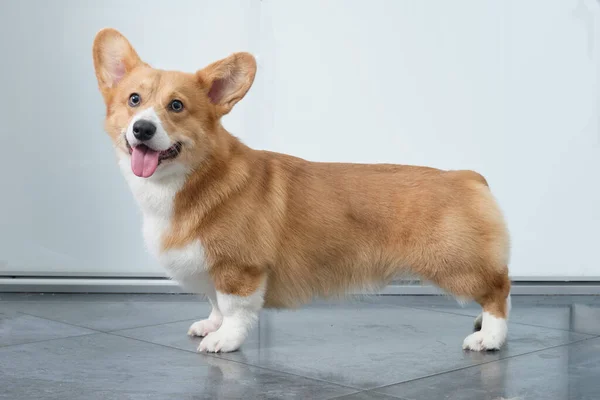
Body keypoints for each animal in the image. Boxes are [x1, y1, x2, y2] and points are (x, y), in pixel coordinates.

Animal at [92, 28, 510, 354]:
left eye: (176, 106)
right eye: (134, 100)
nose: (142, 129)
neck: (191, 179)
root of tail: (469, 177)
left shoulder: (239, 268)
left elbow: (234, 309)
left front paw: (223, 340)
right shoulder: (209, 268)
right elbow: (215, 303)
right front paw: (210, 325)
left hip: (454, 264)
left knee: (498, 290)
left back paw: (489, 337)